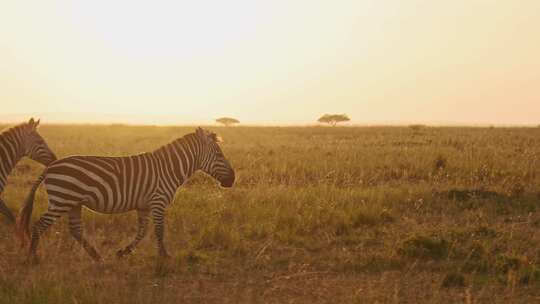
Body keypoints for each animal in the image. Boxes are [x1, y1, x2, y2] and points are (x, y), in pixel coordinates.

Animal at [17, 127, 233, 262]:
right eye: (219, 154)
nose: (233, 179)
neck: (169, 169)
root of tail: (51, 166)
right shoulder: (158, 201)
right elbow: (159, 230)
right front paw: (164, 257)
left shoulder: (144, 205)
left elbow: (143, 231)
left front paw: (123, 252)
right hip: (62, 200)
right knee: (39, 225)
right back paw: (33, 258)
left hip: (73, 203)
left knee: (76, 230)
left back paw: (97, 257)